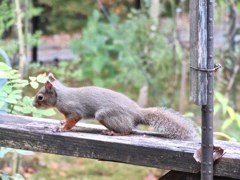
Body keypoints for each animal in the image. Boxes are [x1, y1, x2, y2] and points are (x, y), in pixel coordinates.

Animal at [32, 73, 197, 139]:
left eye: (40, 97)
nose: (33, 104)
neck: (61, 96)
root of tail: (136, 113)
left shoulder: (74, 110)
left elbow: (72, 121)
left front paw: (62, 128)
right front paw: (61, 122)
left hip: (105, 115)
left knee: (128, 130)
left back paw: (113, 132)